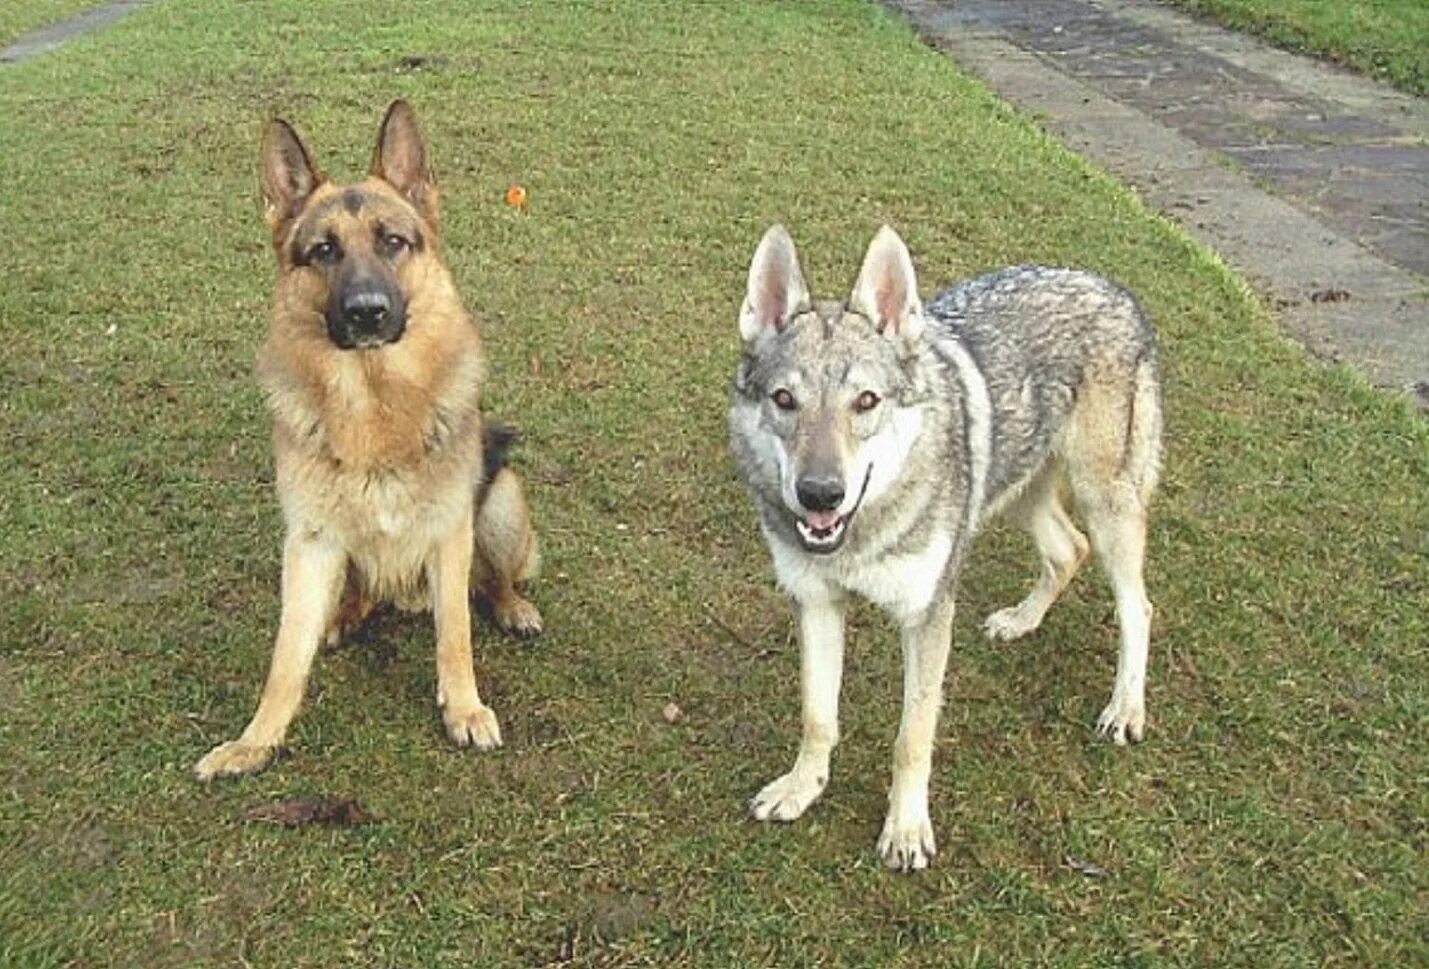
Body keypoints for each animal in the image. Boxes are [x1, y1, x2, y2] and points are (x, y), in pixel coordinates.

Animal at [192, 100, 537, 783]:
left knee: (493, 582)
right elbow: (284, 658)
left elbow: (455, 633)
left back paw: (513, 606)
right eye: (324, 251)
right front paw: (256, 741)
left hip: (501, 500)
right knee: (361, 593)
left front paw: (464, 709)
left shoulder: (450, 534)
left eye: (392, 242)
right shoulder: (308, 545)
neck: (374, 407)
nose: (367, 311)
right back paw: (345, 617)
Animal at [725, 225, 1160, 874]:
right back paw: (1020, 621)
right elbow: (817, 714)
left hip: (1104, 503)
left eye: (865, 401)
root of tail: (1113, 286)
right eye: (784, 400)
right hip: (1018, 491)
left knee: (1137, 606)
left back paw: (1125, 709)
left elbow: (912, 738)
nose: (820, 494)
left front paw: (905, 832)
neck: (859, 537)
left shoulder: (927, 616)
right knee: (1067, 550)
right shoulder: (816, 602)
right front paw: (802, 789)